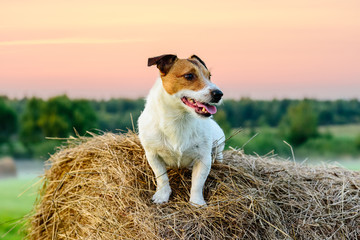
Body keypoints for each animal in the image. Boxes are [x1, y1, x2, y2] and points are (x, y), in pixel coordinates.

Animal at [139, 54, 225, 206]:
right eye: (189, 76)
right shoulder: (153, 155)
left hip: (219, 146)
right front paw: (162, 196)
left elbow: (197, 183)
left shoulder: (204, 158)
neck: (178, 119)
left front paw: (197, 202)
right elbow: (161, 177)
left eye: (209, 76)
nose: (219, 94)